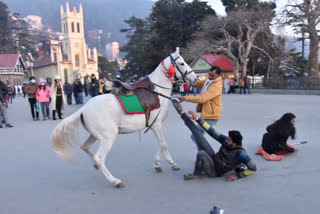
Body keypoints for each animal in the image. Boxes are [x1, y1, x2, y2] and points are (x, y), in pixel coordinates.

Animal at [51, 47, 198, 188]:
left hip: (95, 135)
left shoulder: (154, 126)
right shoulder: (157, 125)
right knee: (99, 158)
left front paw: (158, 163)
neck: (157, 90)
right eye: (181, 63)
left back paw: (97, 166)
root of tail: (83, 109)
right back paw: (114, 180)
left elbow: (161, 145)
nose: (195, 78)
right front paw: (170, 163)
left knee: (86, 148)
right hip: (108, 137)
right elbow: (164, 144)